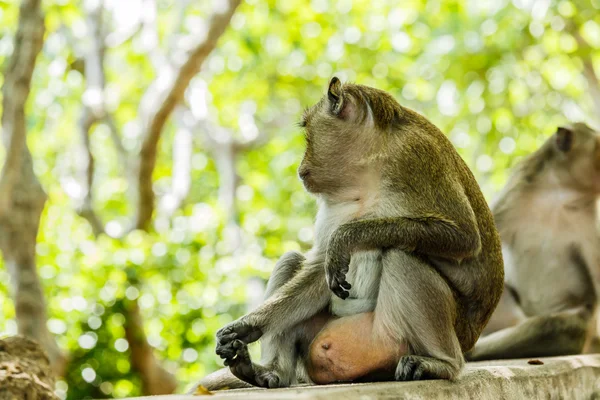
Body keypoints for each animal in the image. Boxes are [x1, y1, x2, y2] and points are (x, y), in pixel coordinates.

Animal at [191, 76, 502, 390]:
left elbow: (464, 237)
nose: (300, 167)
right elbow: (319, 269)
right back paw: (270, 372)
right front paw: (246, 327)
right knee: (293, 261)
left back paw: (441, 364)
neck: (371, 167)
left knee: (401, 254)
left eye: (308, 132)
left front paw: (347, 237)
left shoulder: (419, 157)